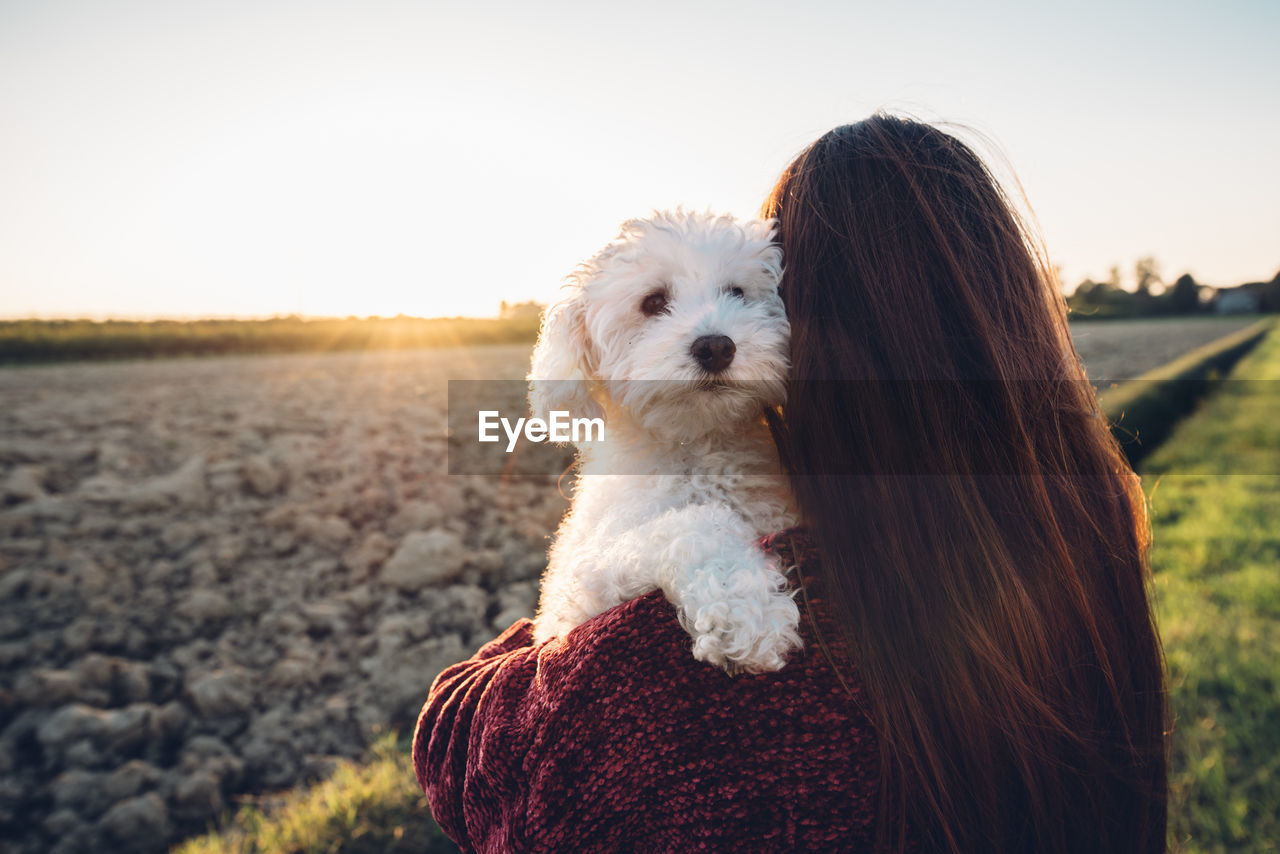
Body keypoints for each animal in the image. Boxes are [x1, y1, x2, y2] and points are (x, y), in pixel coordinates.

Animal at [524, 208, 793, 676]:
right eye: (652, 302)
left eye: (737, 292)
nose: (716, 346)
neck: (698, 453)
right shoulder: (581, 589)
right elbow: (694, 526)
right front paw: (747, 614)